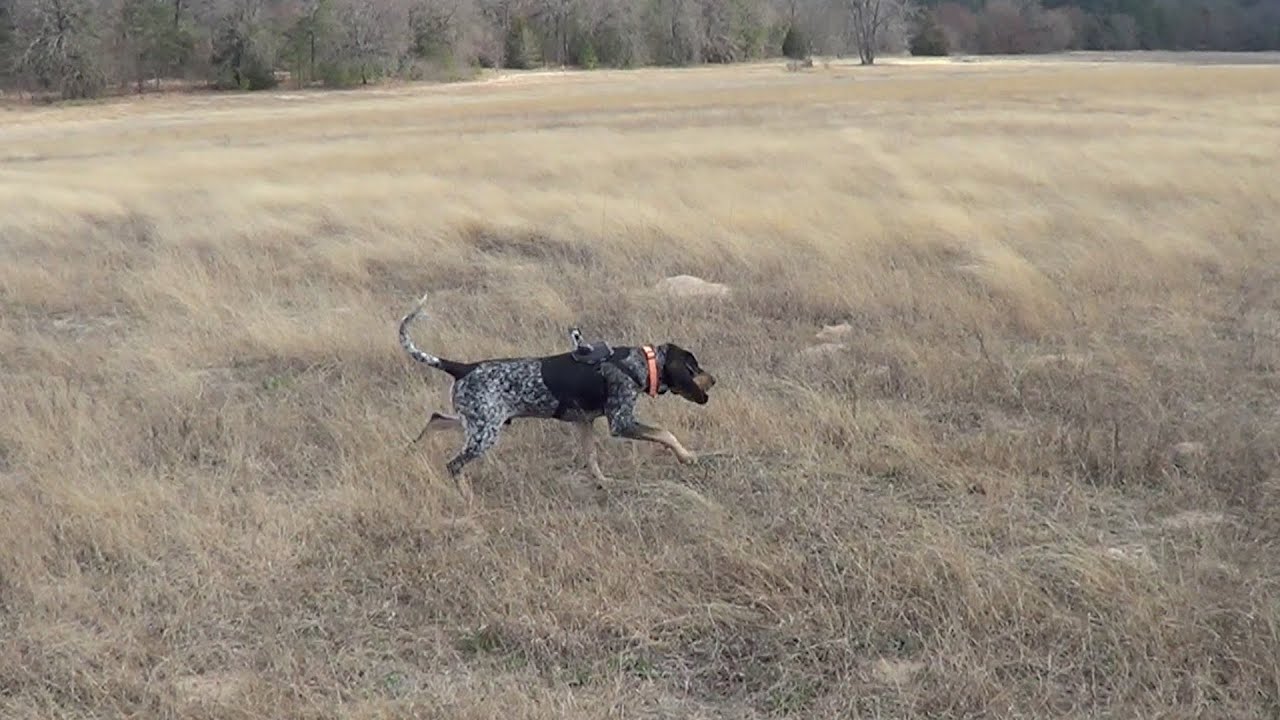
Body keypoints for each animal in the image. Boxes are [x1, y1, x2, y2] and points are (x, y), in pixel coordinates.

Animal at [396, 289, 716, 481]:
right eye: (695, 367)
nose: (714, 379)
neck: (638, 363)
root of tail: (463, 367)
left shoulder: (584, 422)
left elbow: (591, 456)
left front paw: (602, 482)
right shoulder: (622, 422)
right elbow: (665, 434)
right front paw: (687, 457)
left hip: (481, 423)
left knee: (436, 419)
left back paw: (414, 450)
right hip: (484, 433)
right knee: (453, 465)